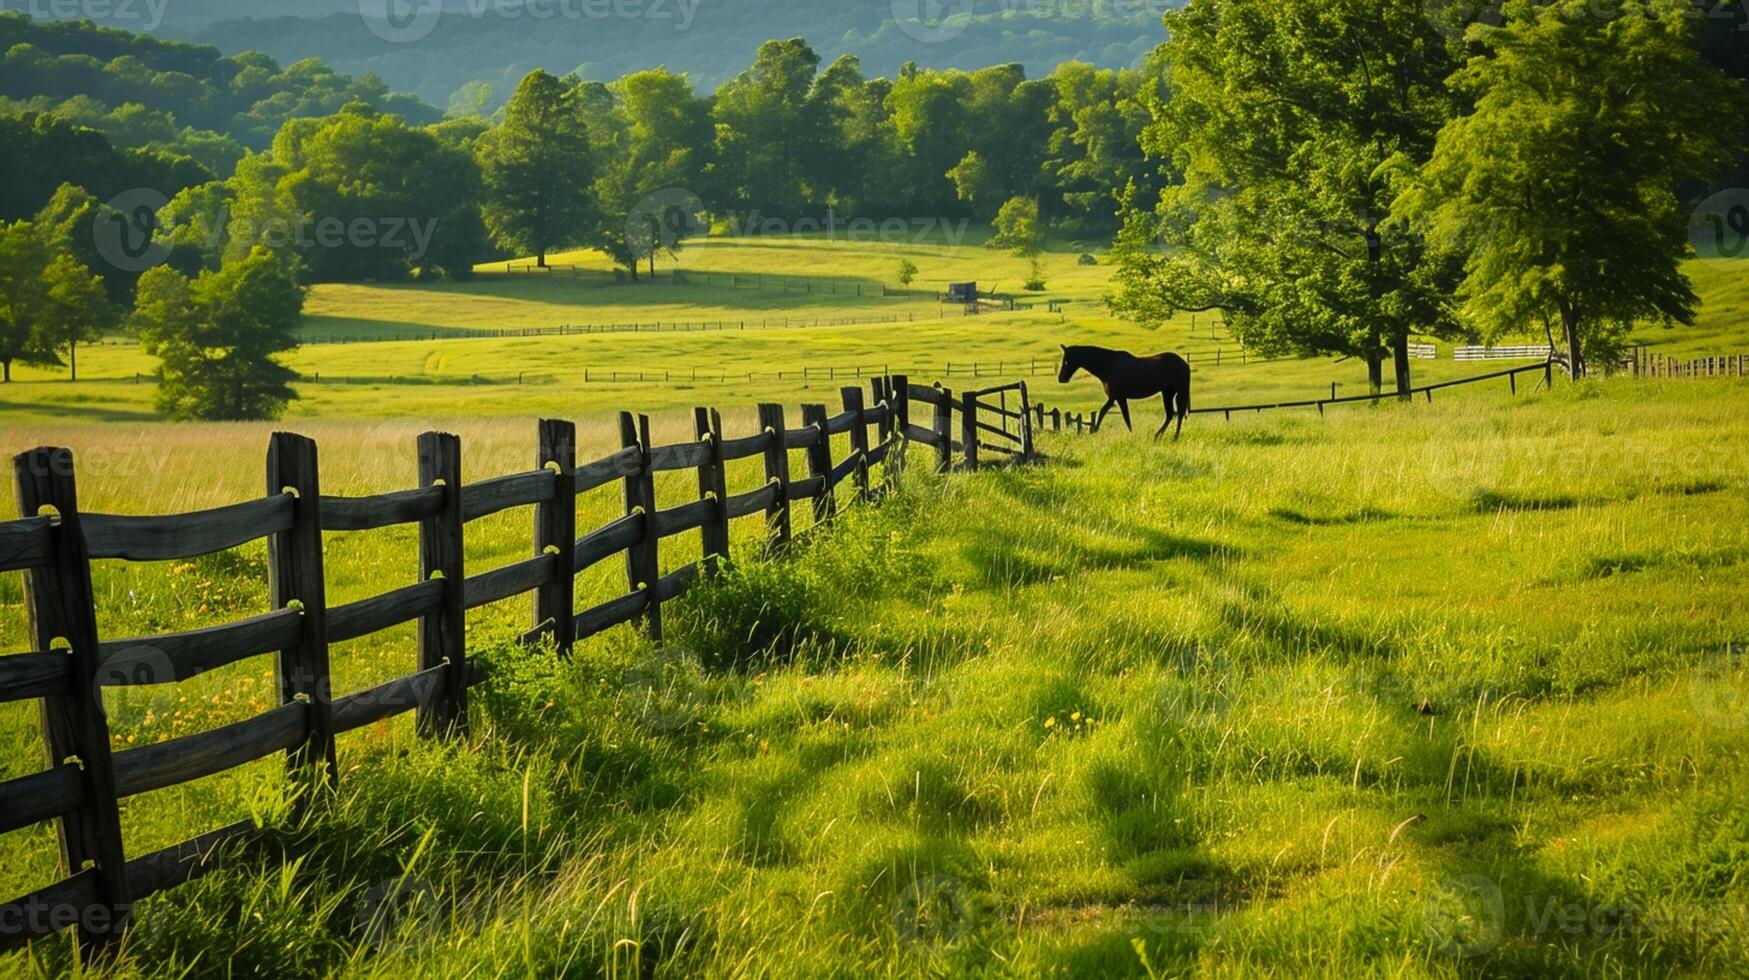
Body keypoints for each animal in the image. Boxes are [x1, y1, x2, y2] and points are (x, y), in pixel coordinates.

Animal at [1049, 343, 1189, 437]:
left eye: (1066, 361)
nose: (1061, 378)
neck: (1108, 365)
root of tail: (1184, 363)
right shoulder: (1115, 398)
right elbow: (1112, 413)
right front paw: (1094, 431)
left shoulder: (1117, 397)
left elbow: (1118, 415)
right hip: (1168, 393)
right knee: (1171, 414)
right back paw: (1157, 436)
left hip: (1178, 391)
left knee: (1179, 412)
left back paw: (1174, 437)